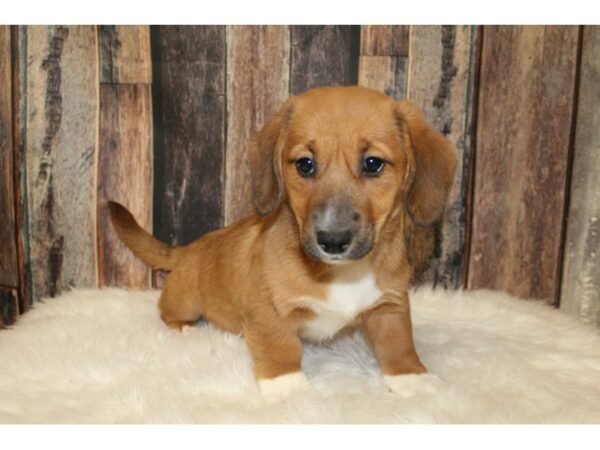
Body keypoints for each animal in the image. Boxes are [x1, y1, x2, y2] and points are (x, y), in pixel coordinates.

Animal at [109, 86, 454, 400]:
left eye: (373, 163)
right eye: (305, 164)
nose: (332, 241)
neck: (340, 274)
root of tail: (188, 249)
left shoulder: (390, 306)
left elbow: (399, 345)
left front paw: (412, 378)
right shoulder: (268, 313)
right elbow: (281, 350)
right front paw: (289, 389)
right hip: (185, 300)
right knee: (165, 311)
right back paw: (186, 330)